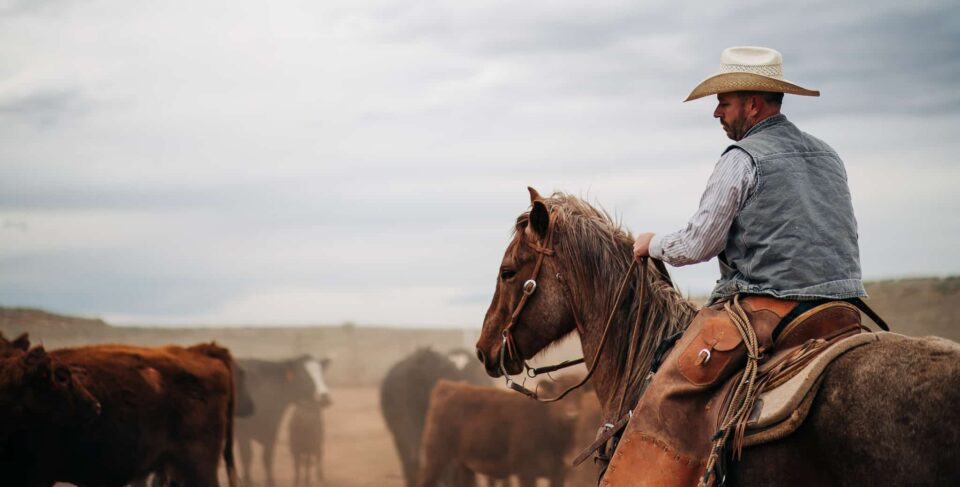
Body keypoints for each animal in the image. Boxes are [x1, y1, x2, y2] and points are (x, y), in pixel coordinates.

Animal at [236, 355, 332, 487]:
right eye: (302, 375)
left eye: (322, 373)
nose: (325, 397)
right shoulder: (242, 433)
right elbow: (247, 457)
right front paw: (247, 481)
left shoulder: (272, 429)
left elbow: (267, 458)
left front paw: (270, 482)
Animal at [419, 376, 586, 487]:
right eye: (558, 392)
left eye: (580, 395)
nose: (571, 415)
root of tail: (447, 387)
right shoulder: (526, 471)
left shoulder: (558, 473)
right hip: (436, 457)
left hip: (463, 465)